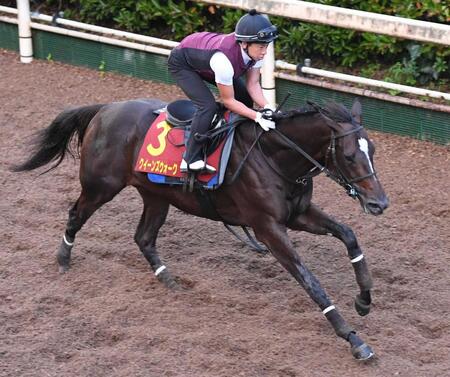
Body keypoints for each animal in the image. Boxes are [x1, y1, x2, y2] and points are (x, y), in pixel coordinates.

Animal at [12, 97, 388, 358]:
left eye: (373, 151)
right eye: (351, 156)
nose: (379, 203)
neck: (273, 155)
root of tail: (106, 109)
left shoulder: (298, 214)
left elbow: (349, 236)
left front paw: (364, 299)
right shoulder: (267, 227)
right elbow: (311, 282)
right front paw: (353, 339)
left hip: (156, 194)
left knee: (144, 237)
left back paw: (168, 279)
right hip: (100, 186)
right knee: (76, 215)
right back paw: (63, 259)